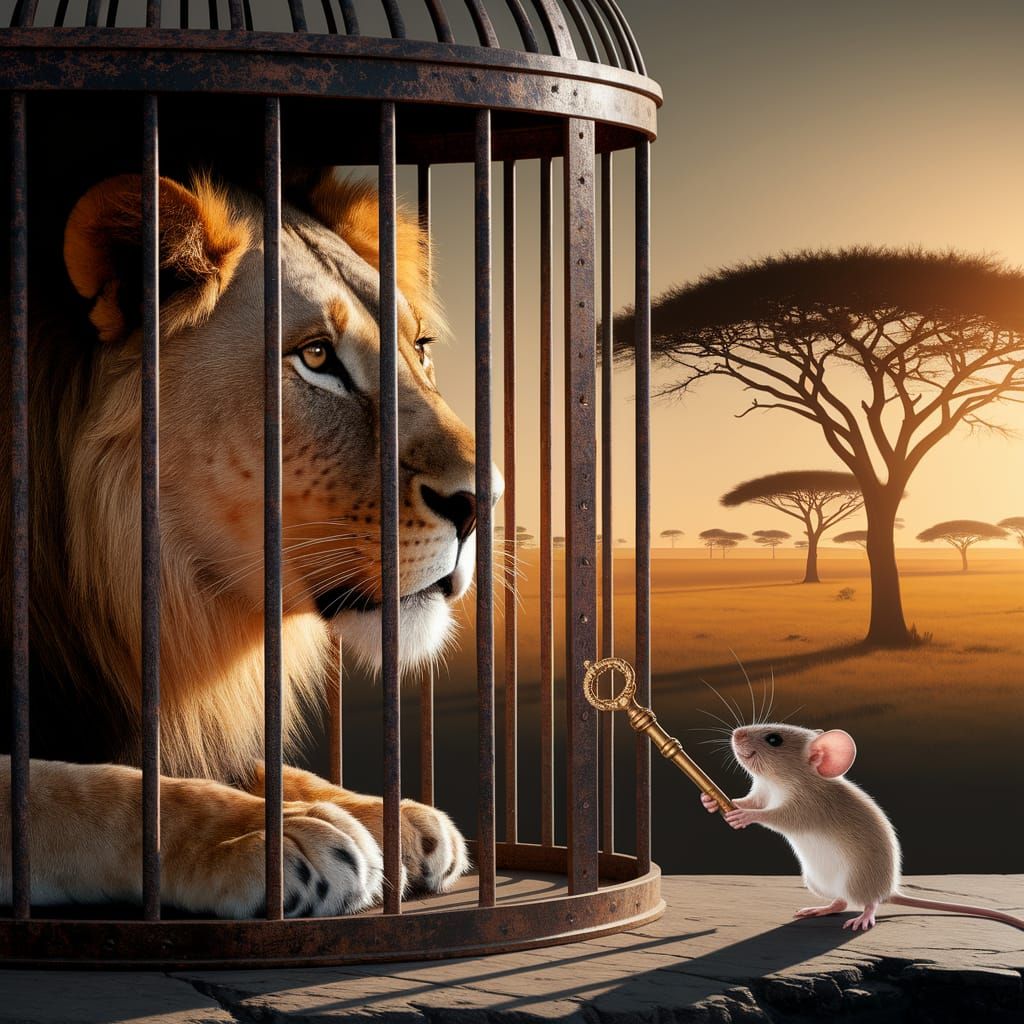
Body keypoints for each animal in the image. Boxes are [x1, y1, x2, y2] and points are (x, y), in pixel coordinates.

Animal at [0, 168, 501, 917]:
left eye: (419, 349)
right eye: (316, 357)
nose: (484, 502)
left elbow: (245, 763)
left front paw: (385, 812)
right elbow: (85, 788)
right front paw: (274, 836)